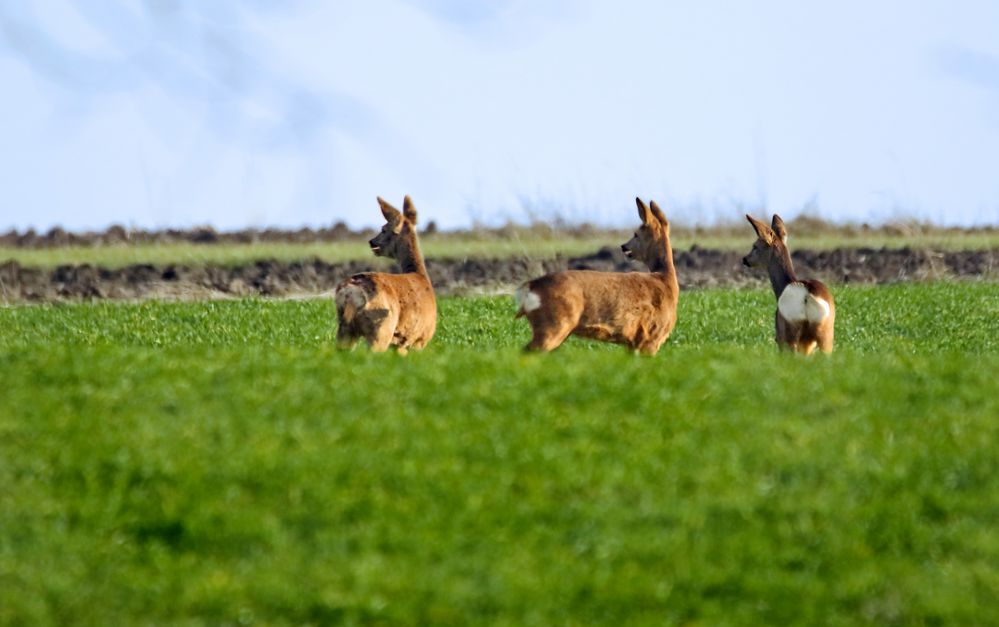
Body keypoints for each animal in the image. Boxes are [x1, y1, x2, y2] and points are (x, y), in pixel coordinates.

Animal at [334, 196, 436, 354]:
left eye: (383, 229)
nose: (371, 241)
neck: (421, 276)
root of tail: (351, 293)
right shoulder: (419, 339)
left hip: (345, 329)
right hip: (381, 328)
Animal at [516, 197, 680, 354]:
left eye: (636, 234)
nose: (624, 246)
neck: (666, 281)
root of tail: (531, 286)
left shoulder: (634, 343)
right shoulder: (651, 336)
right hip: (554, 323)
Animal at [744, 215, 836, 354]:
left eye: (755, 246)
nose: (745, 259)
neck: (782, 287)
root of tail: (807, 295)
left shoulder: (780, 335)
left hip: (790, 330)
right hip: (826, 332)